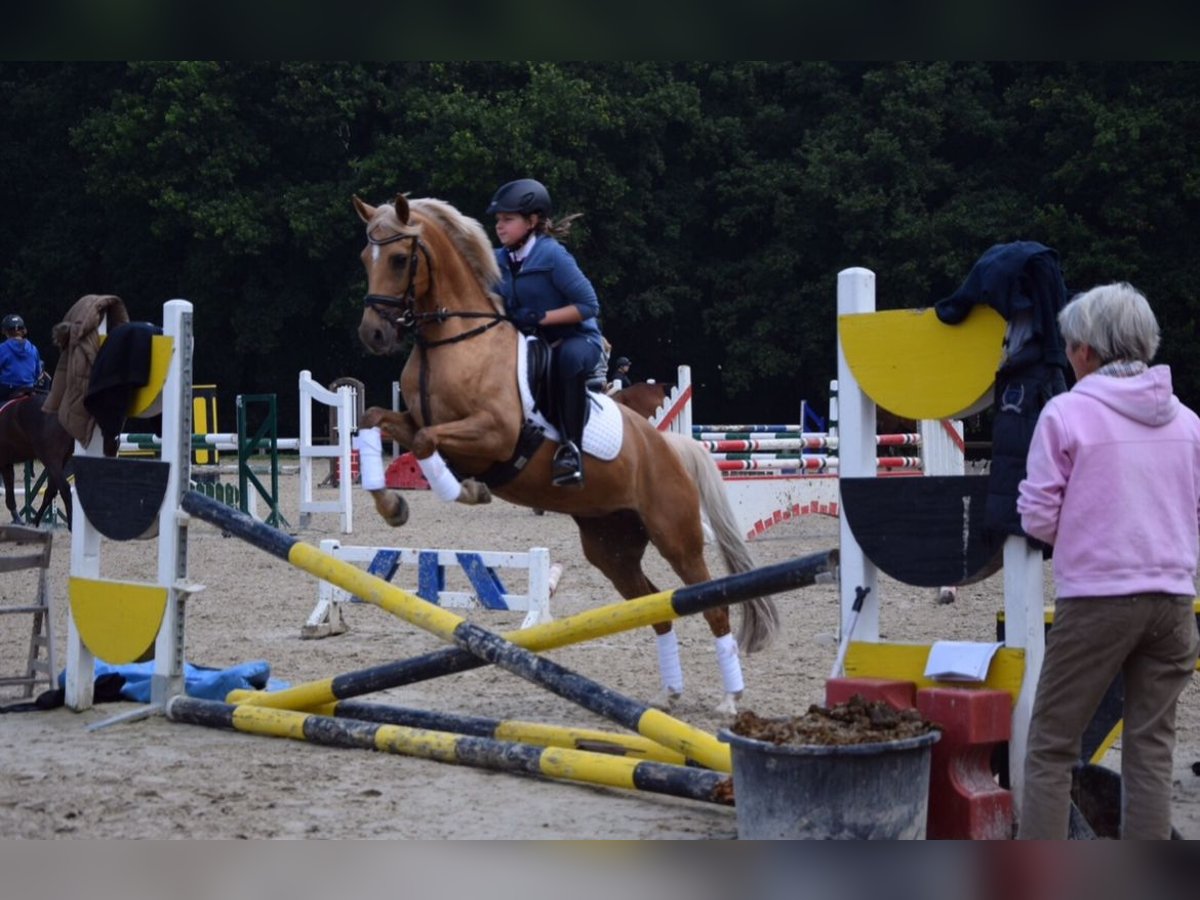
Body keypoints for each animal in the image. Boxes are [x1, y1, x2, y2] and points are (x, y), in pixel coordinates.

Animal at [0, 393, 75, 528]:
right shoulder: (6, 463)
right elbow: (9, 491)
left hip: (51, 460)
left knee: (64, 489)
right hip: (60, 461)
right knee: (51, 491)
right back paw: (35, 521)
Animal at [350, 194, 782, 715]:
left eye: (398, 258)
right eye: (364, 258)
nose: (373, 334)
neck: (455, 342)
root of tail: (668, 446)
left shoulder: (494, 434)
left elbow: (425, 442)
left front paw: (465, 490)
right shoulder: (414, 420)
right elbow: (376, 420)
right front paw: (392, 505)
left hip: (675, 535)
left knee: (711, 604)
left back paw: (729, 701)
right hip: (611, 544)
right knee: (654, 604)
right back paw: (667, 694)